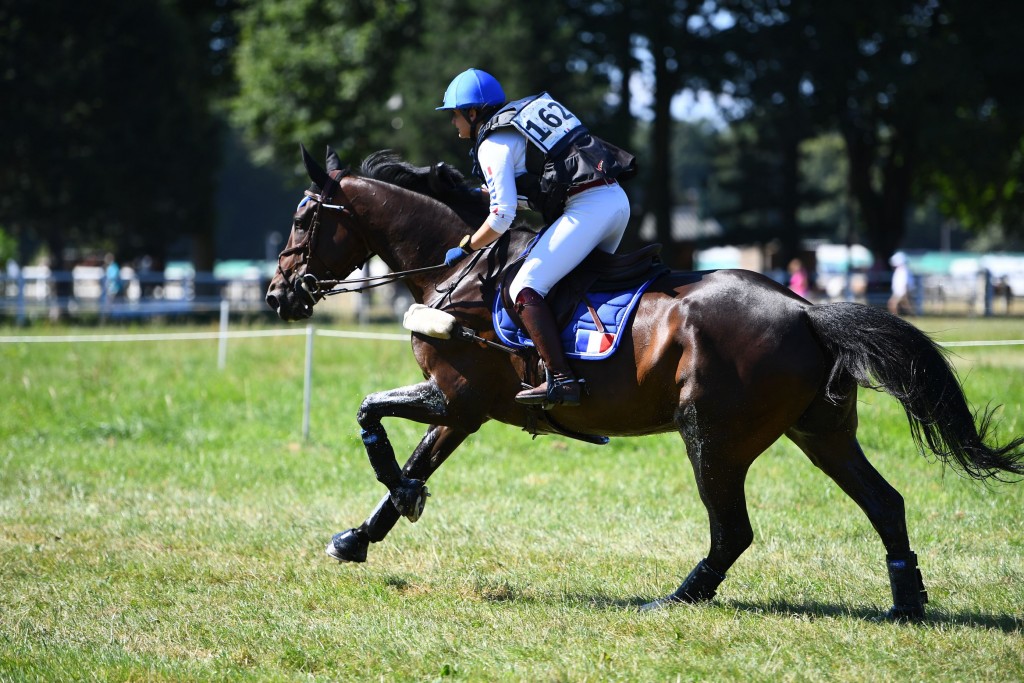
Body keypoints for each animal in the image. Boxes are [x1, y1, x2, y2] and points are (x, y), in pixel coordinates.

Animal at [266, 145, 1024, 618]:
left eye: (304, 219)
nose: (278, 295)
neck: (453, 270)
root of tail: (806, 310)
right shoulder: (465, 409)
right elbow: (410, 453)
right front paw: (361, 534)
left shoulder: (459, 397)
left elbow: (371, 419)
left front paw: (399, 499)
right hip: (822, 432)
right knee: (884, 502)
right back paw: (907, 601)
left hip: (713, 436)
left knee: (733, 530)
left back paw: (676, 598)